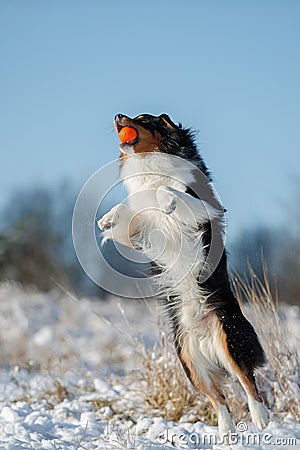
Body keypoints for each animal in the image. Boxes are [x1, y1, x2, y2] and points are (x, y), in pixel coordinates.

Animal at [98, 112, 270, 440]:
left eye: (143, 119)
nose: (116, 116)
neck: (151, 166)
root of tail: (204, 336)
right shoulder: (141, 231)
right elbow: (125, 212)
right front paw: (106, 219)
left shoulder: (206, 210)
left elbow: (169, 192)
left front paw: (167, 201)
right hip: (190, 363)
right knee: (218, 398)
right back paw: (226, 435)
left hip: (231, 340)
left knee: (247, 380)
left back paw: (261, 417)